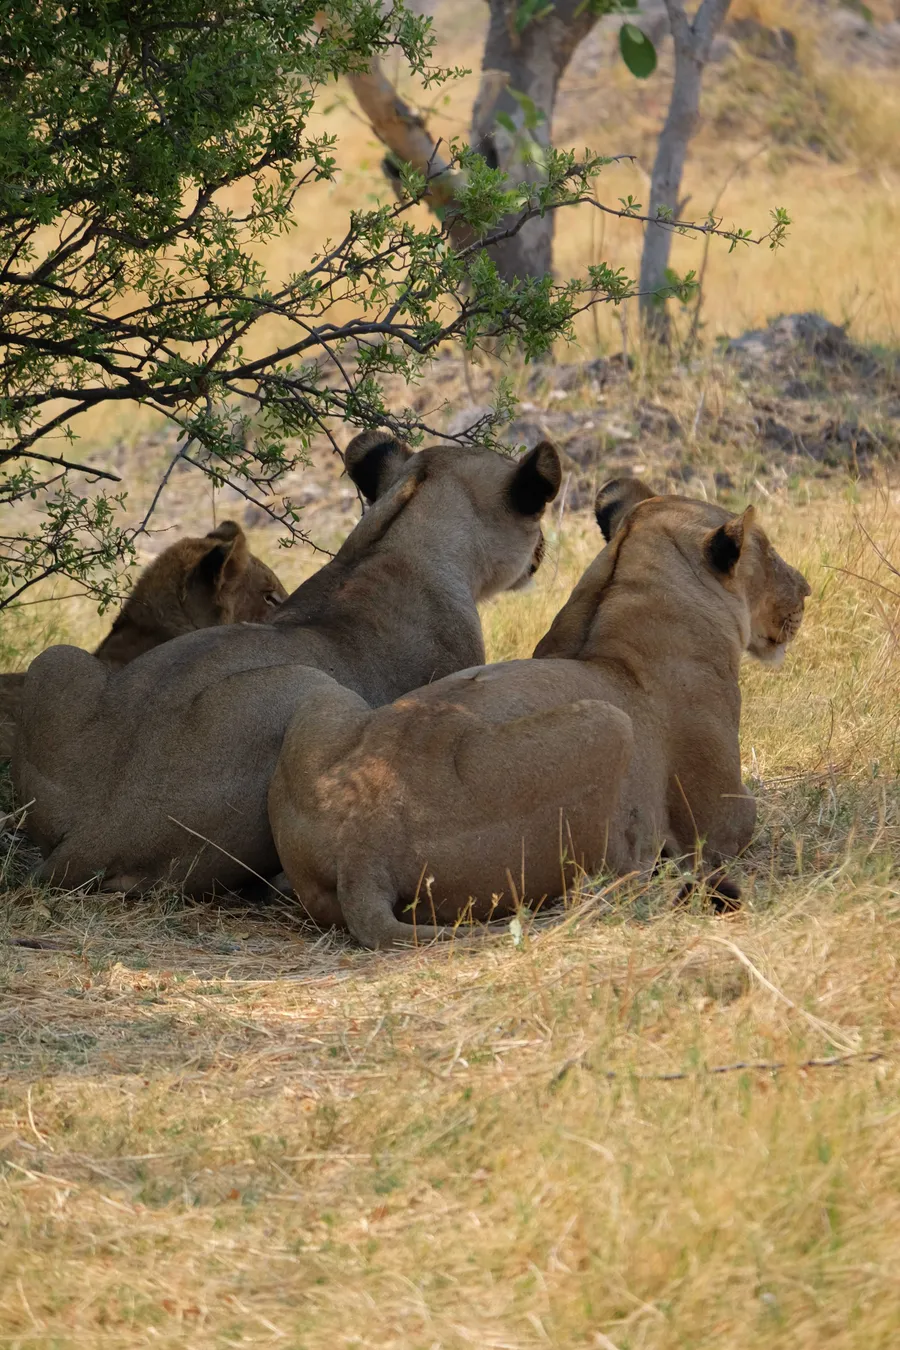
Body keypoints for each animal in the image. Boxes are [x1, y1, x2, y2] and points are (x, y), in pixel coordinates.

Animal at [267, 478, 811, 948]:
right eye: (768, 551)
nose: (806, 590)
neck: (628, 580)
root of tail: (361, 852)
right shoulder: (717, 816)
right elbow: (745, 818)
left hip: (321, 697)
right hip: (608, 725)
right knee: (606, 879)